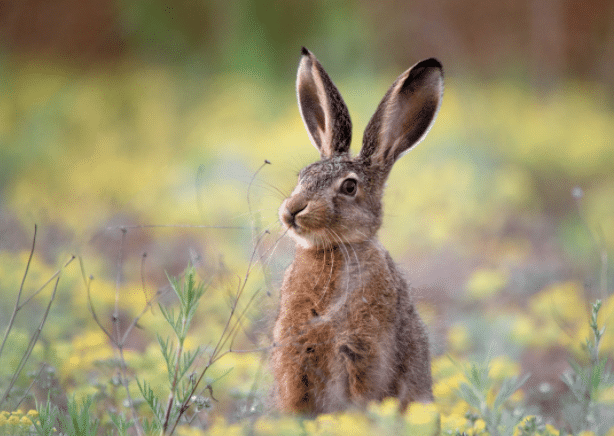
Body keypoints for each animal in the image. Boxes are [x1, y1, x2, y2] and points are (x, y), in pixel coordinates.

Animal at [271, 47, 443, 415]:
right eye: (302, 176)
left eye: (349, 187)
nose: (292, 210)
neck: (333, 251)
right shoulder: (295, 354)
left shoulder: (364, 350)